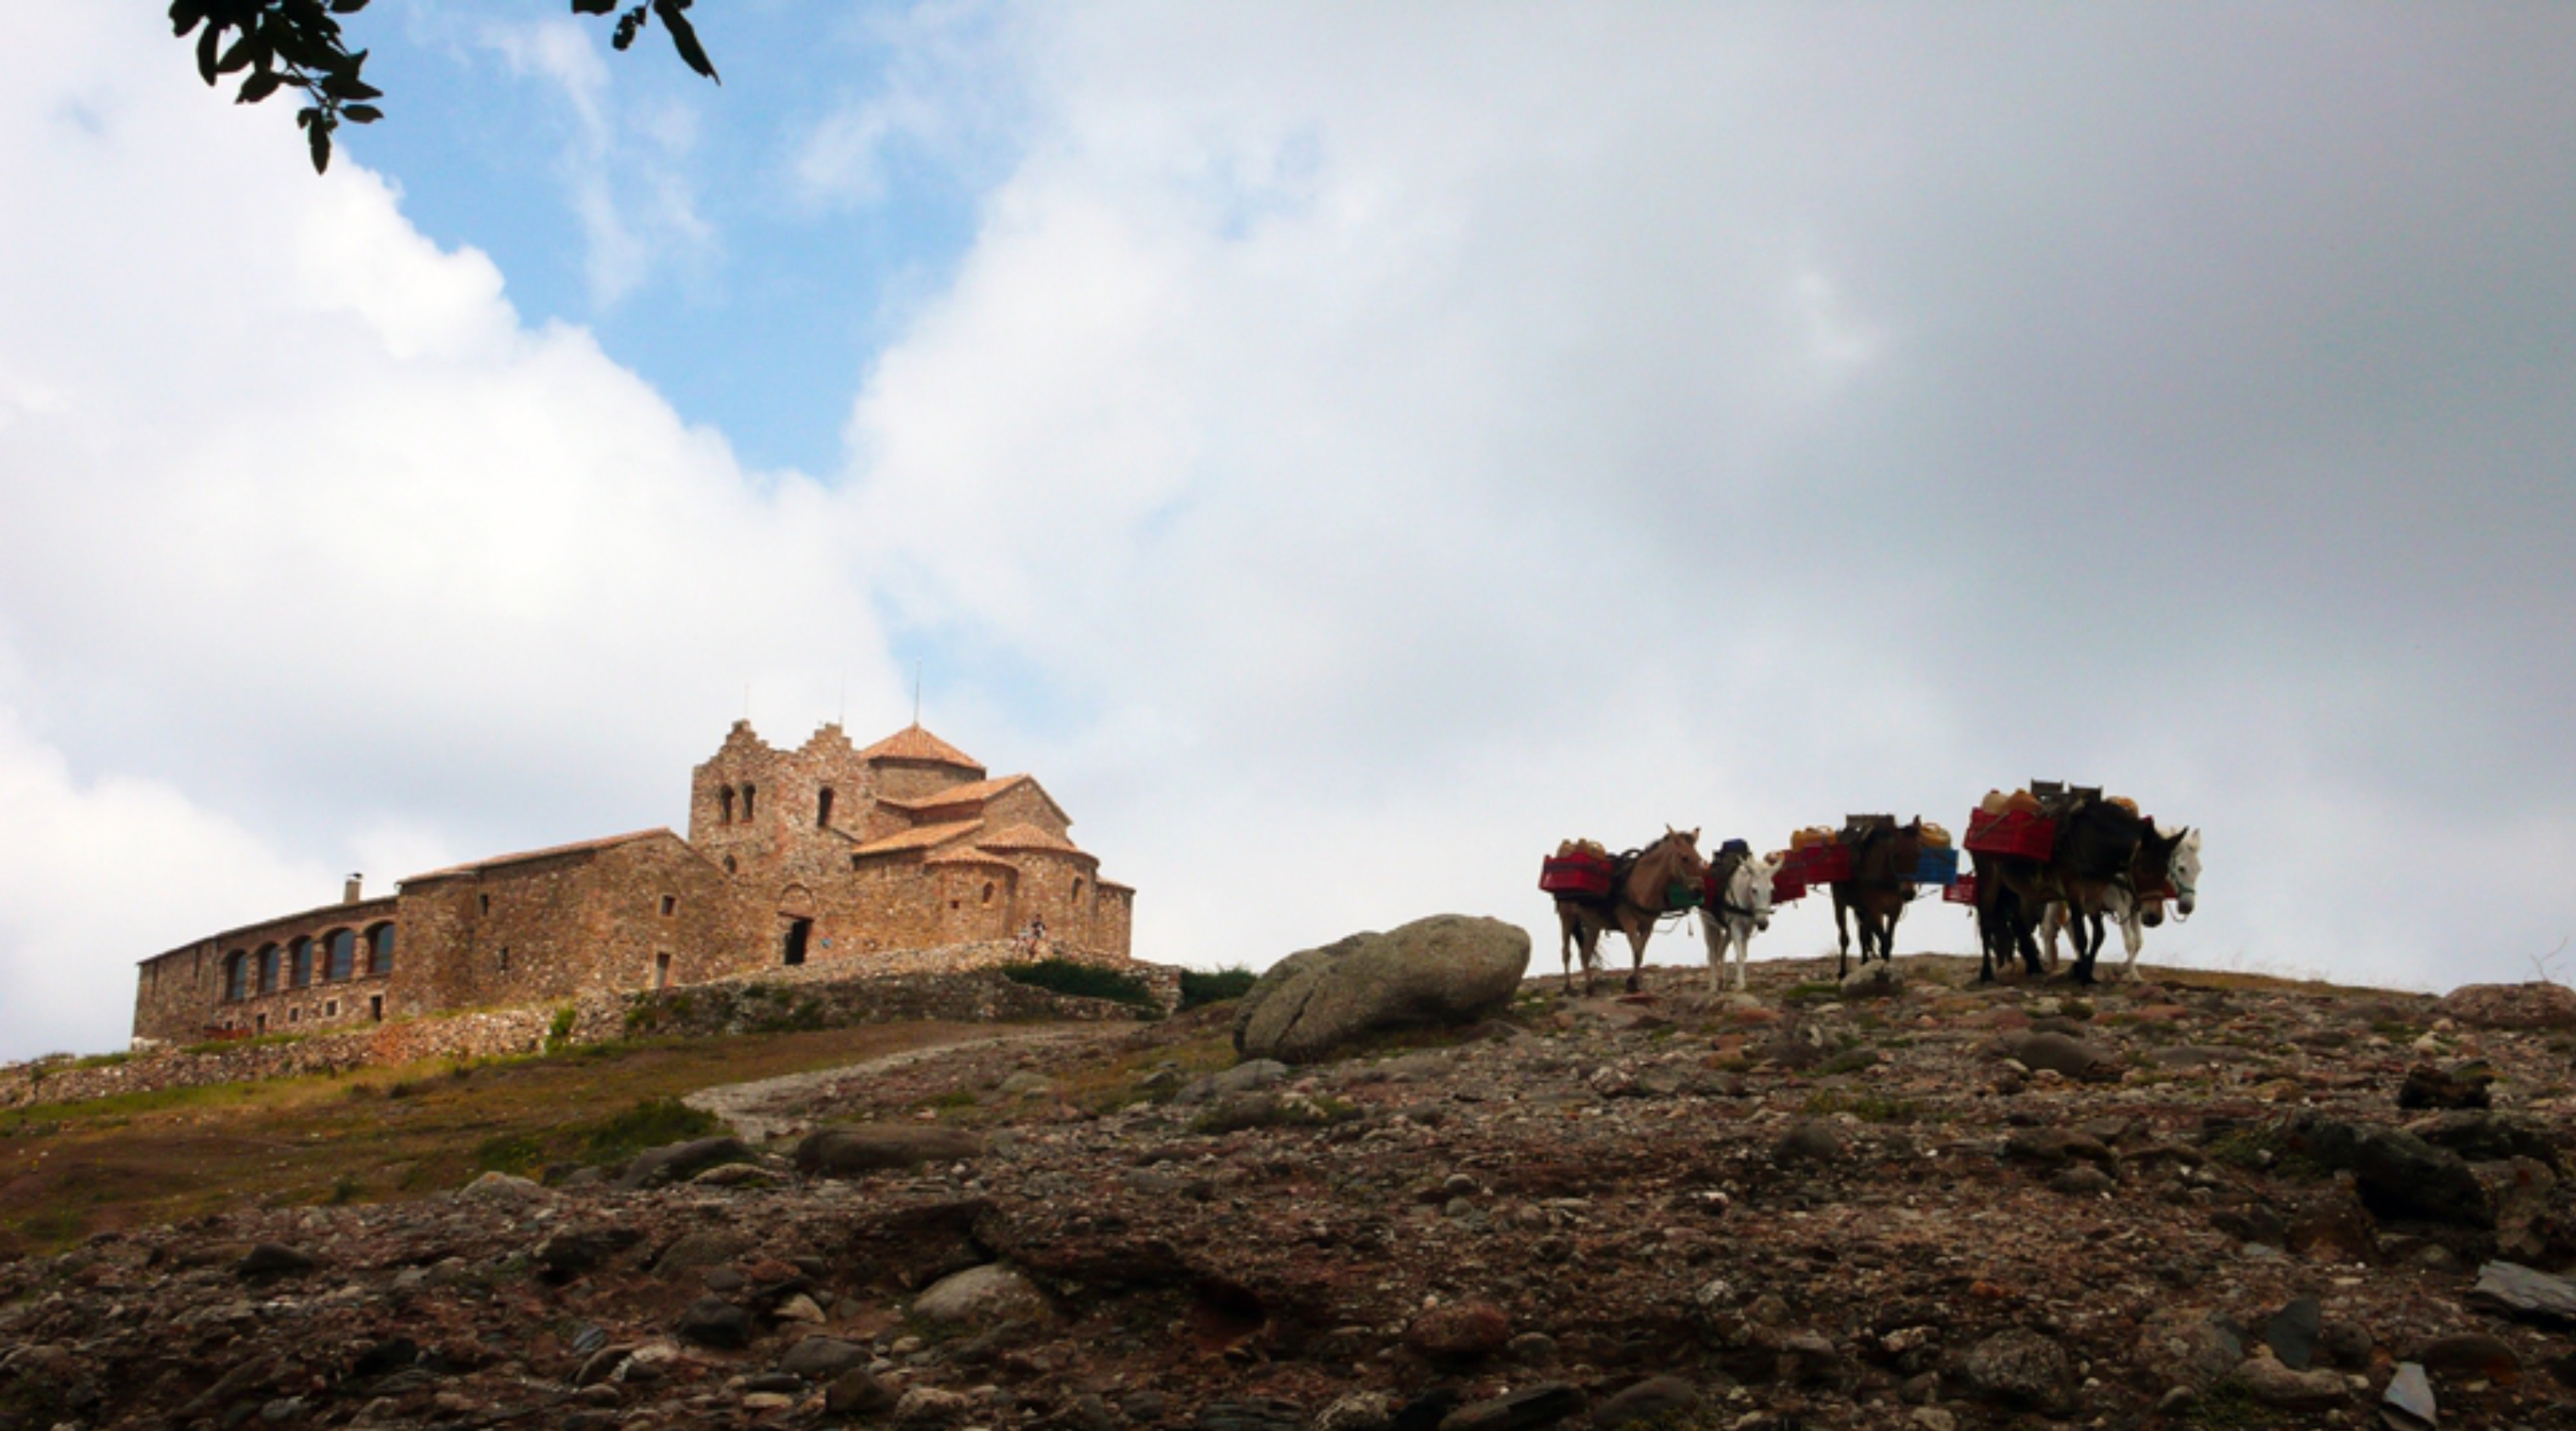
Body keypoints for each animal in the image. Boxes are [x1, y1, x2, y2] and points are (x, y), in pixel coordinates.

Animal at [1700, 845, 1782, 990]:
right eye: (1754, 890)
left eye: (1772, 890)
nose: (1763, 924)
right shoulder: (1736, 927)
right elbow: (1738, 956)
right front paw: (1740, 986)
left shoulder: (1747, 929)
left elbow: (1743, 956)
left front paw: (1741, 984)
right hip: (1708, 925)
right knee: (1712, 954)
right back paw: (1713, 986)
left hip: (1728, 930)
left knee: (1721, 950)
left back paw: (1723, 980)